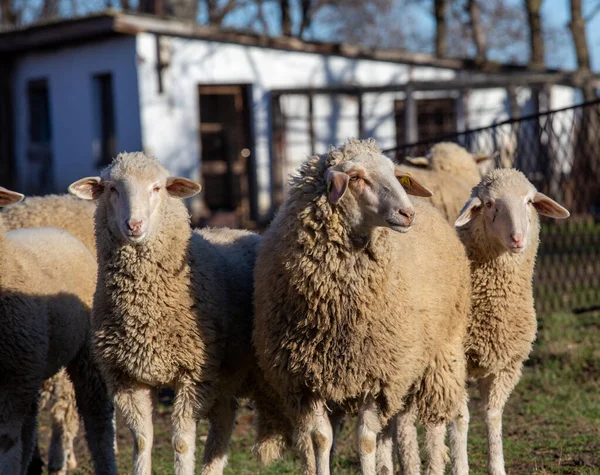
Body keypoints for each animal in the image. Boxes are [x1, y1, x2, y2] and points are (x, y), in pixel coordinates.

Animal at [68, 153, 272, 475]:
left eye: (157, 188)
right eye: (112, 189)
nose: (134, 225)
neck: (144, 311)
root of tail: (246, 231)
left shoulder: (193, 374)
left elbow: (182, 442)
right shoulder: (127, 378)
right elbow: (142, 440)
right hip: (224, 371)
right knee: (225, 417)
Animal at [251, 139, 472, 475]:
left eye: (396, 174)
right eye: (355, 177)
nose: (407, 213)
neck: (337, 311)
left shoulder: (377, 376)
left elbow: (366, 440)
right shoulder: (308, 380)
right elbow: (321, 439)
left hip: (443, 350)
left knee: (448, 417)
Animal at [450, 169, 572, 474]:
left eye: (529, 201)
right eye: (489, 203)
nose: (517, 238)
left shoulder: (506, 365)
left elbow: (493, 416)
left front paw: (497, 467)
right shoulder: (454, 362)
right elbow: (460, 419)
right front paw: (460, 467)